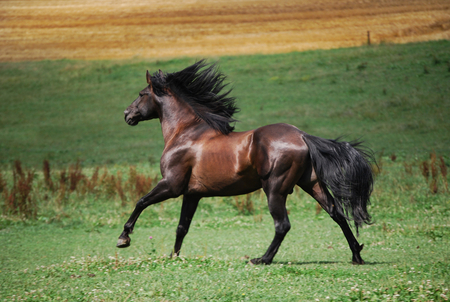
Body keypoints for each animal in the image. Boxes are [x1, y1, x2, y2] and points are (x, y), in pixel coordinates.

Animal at [118, 60, 374, 264]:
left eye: (141, 94)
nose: (126, 114)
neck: (185, 133)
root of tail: (302, 135)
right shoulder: (192, 194)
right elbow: (182, 227)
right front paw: (174, 257)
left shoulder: (171, 185)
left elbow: (141, 202)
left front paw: (123, 238)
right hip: (311, 183)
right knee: (337, 213)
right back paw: (356, 255)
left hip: (275, 189)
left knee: (283, 225)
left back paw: (261, 259)